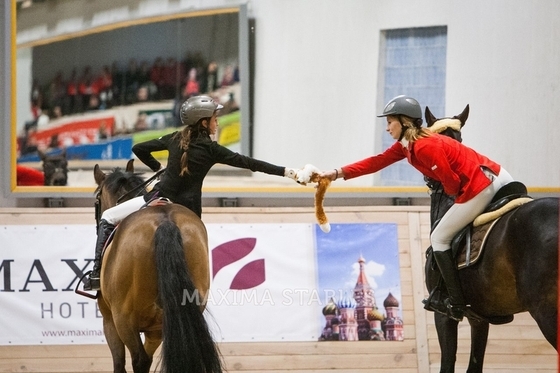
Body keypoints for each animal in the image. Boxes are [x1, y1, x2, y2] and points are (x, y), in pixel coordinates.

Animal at [89, 160, 221, 372]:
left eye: (97, 200)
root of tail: (165, 221)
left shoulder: (109, 320)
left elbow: (120, 363)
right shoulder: (154, 329)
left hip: (124, 320)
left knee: (139, 360)